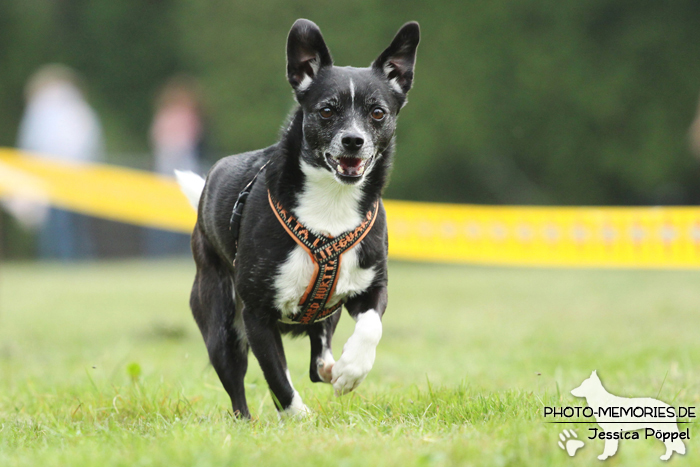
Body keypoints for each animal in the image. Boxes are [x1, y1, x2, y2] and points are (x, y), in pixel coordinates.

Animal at [178, 19, 418, 420]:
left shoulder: (371, 285)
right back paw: (247, 419)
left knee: (317, 361)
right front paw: (297, 415)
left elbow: (371, 326)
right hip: (220, 323)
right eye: (326, 111)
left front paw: (351, 370)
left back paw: (333, 367)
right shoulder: (257, 314)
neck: (331, 202)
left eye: (378, 113)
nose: (353, 141)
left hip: (325, 314)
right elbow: (276, 375)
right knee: (237, 384)